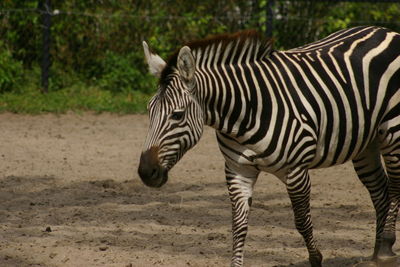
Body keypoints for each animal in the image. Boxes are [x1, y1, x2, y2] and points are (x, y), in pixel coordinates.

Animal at [137, 25, 400, 267]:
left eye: (177, 115)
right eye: (149, 110)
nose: (146, 172)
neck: (244, 114)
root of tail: (384, 30)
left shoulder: (296, 171)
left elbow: (301, 221)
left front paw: (316, 259)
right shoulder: (237, 171)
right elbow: (238, 226)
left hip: (393, 132)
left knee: (395, 186)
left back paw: (386, 247)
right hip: (365, 143)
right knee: (380, 191)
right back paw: (376, 254)